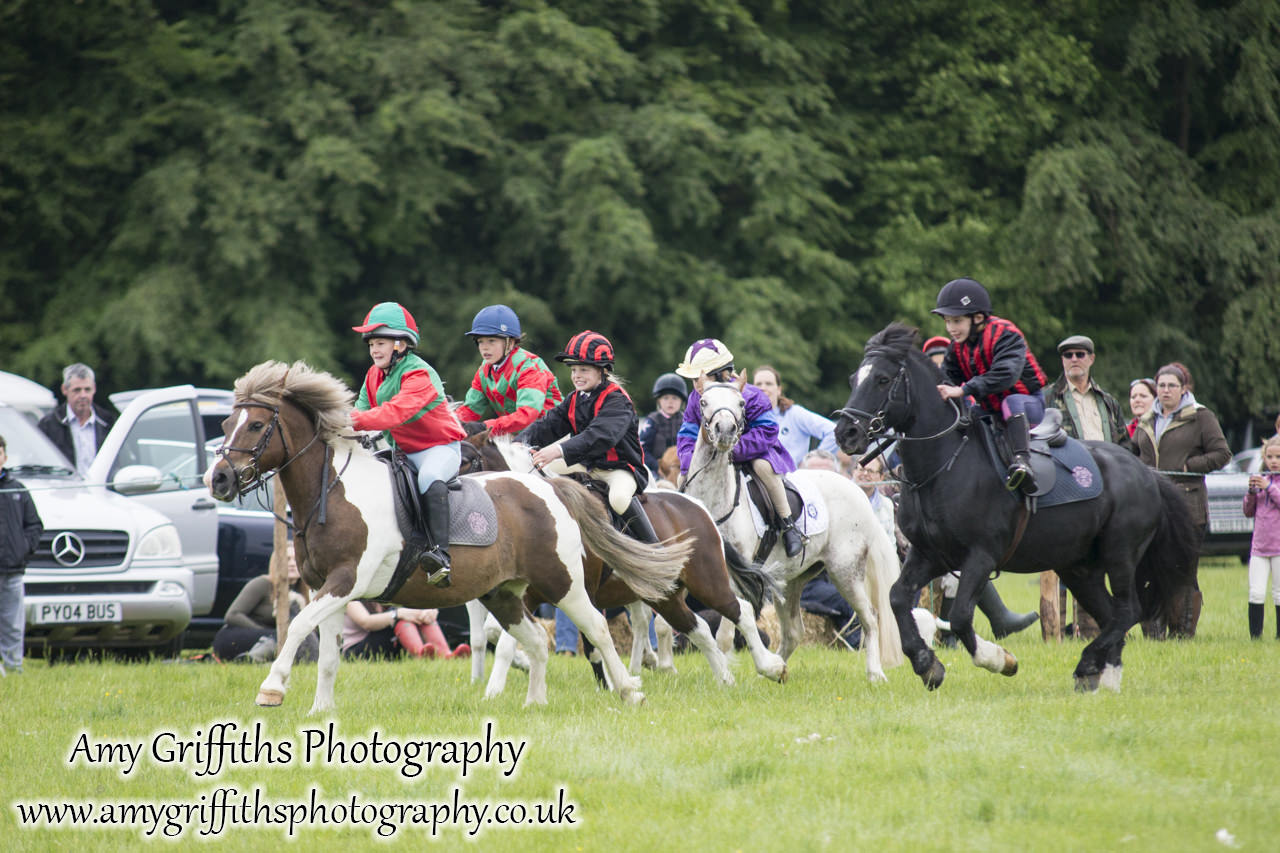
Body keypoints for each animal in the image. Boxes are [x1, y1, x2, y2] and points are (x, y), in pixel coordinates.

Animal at [829, 322, 1198, 686]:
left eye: (882, 379)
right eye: (853, 379)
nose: (845, 433)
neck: (945, 465)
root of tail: (1147, 473)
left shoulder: (981, 555)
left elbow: (960, 616)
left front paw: (998, 659)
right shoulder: (929, 554)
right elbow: (897, 598)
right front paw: (925, 662)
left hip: (1119, 554)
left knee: (1127, 611)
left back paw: (1089, 665)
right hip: (1079, 567)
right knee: (1111, 615)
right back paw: (1101, 676)